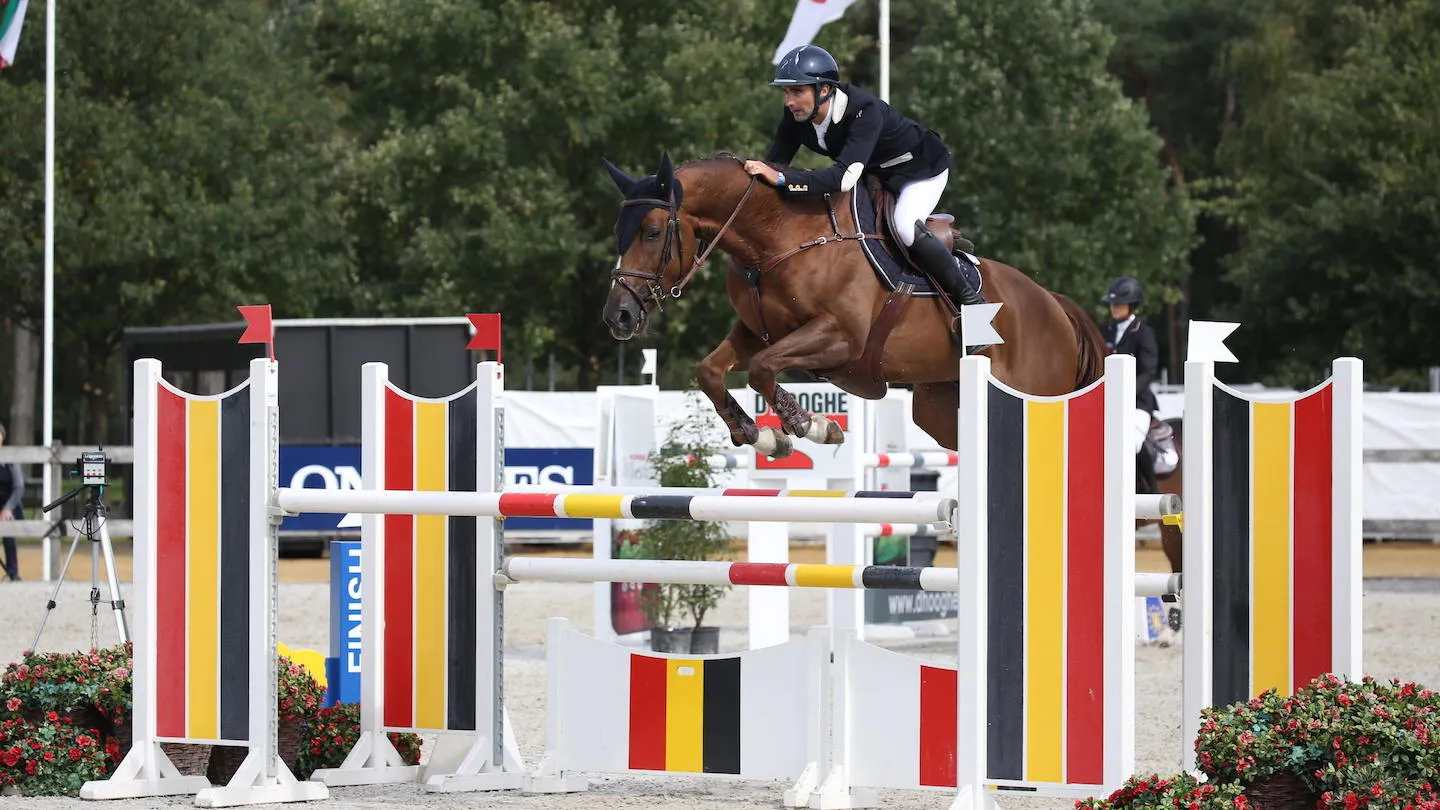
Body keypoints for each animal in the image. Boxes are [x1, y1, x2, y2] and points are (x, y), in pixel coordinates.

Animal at [600, 150, 1108, 461]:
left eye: (651, 232)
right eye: (618, 232)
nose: (617, 316)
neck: (777, 237)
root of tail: (1055, 306)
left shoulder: (840, 337)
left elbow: (764, 370)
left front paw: (813, 426)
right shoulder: (757, 332)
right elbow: (710, 371)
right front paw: (761, 436)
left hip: (1032, 390)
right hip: (940, 406)